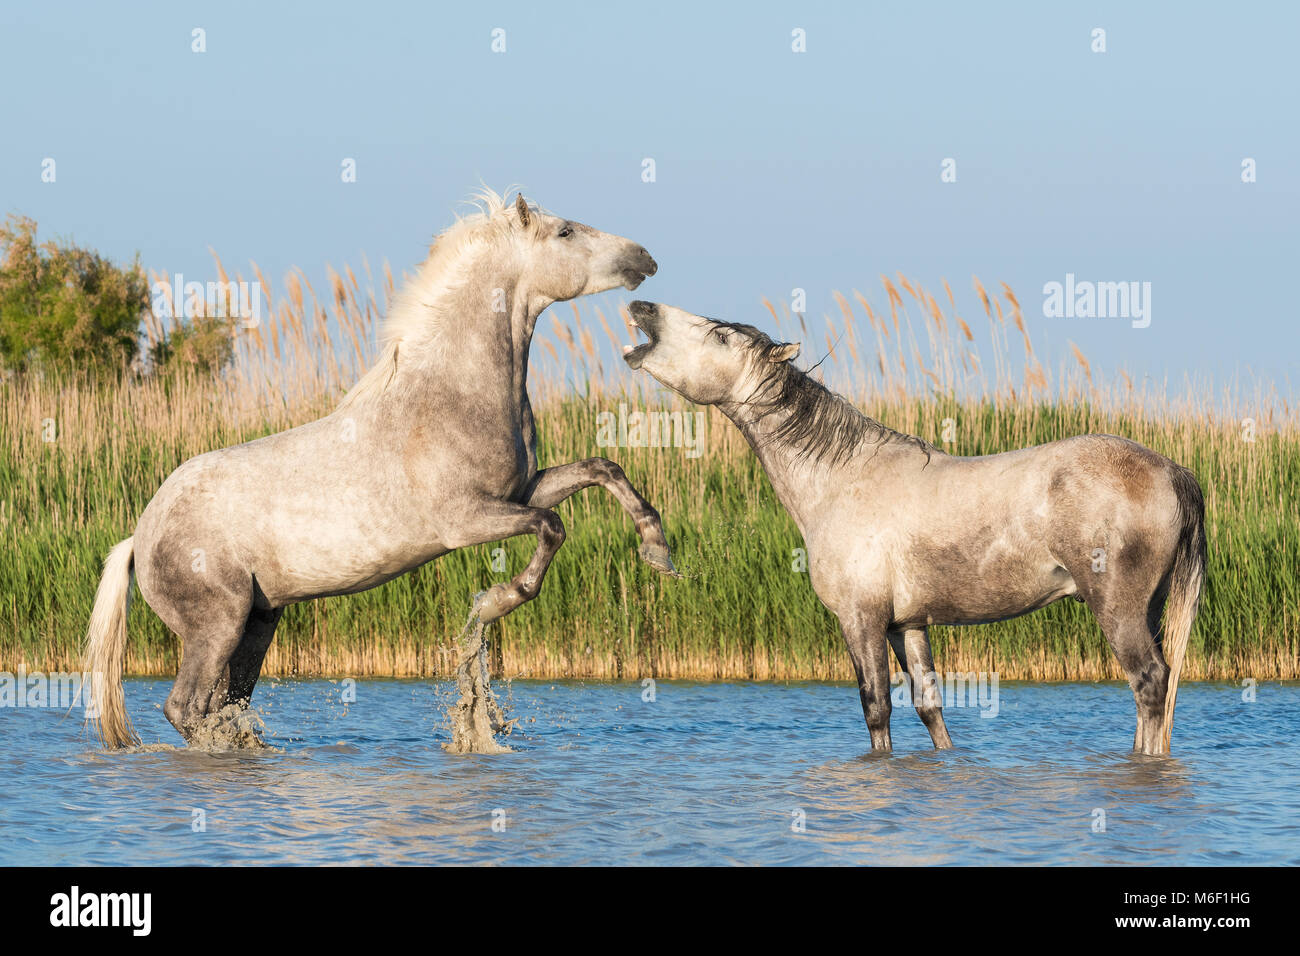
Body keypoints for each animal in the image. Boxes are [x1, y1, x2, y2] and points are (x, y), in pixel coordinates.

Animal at [624, 299, 1201, 754]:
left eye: (721, 335)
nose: (643, 306)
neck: (839, 479)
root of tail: (1170, 470)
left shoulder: (861, 620)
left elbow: (876, 708)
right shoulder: (908, 625)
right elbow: (930, 708)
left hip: (1118, 609)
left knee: (1150, 684)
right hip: (1147, 609)